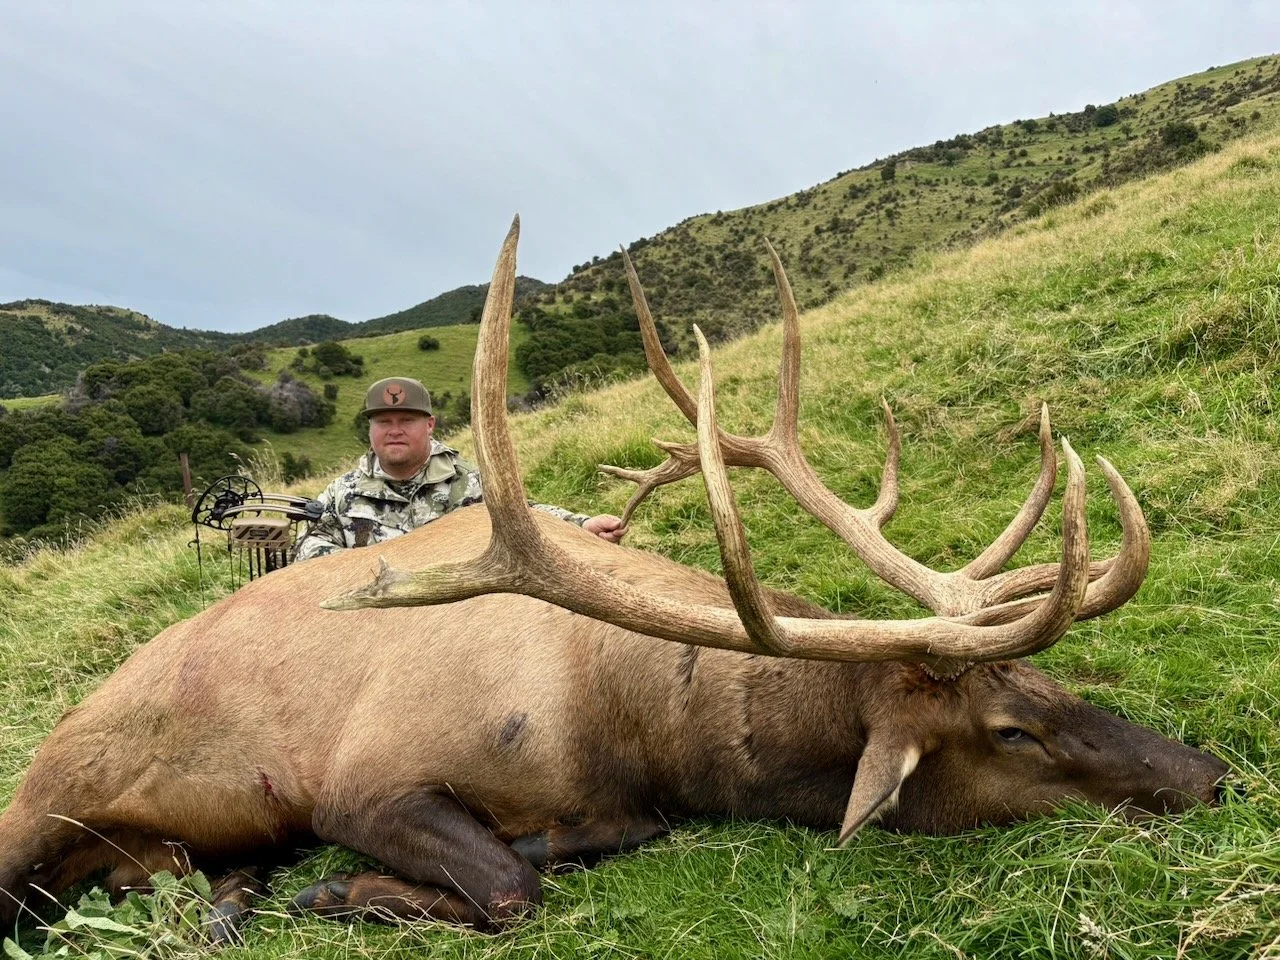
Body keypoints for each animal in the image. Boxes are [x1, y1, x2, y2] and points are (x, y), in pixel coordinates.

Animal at [0, 218, 1229, 942]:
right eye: (1010, 731)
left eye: (1061, 688)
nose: (1213, 776)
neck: (632, 724)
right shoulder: (367, 777)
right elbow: (507, 889)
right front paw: (348, 888)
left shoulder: (620, 804)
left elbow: (579, 847)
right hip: (43, 798)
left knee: (200, 881)